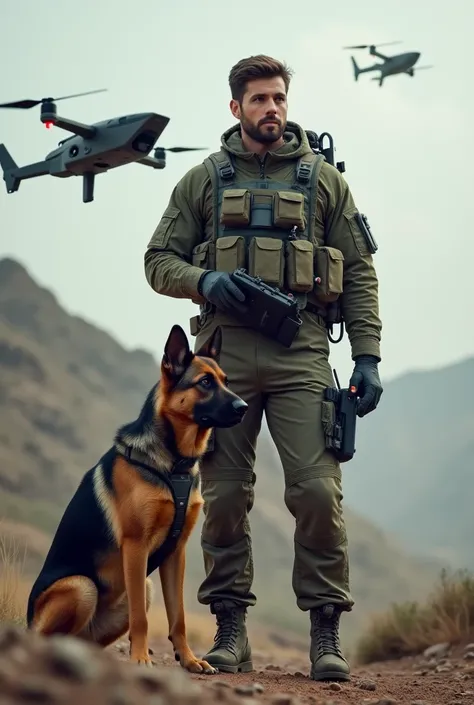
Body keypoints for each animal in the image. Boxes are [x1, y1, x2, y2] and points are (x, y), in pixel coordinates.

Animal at [25, 324, 248, 672]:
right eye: (205, 382)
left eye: (226, 380)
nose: (244, 408)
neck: (175, 464)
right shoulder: (135, 546)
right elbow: (141, 619)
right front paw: (141, 658)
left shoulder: (176, 552)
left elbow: (178, 617)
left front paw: (189, 659)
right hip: (82, 587)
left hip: (143, 588)